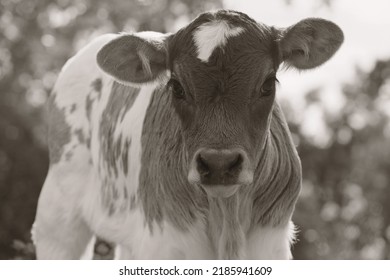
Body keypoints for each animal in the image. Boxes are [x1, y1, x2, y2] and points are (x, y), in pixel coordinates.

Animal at [32, 9, 342, 260]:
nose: (219, 163)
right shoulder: (164, 244)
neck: (227, 217)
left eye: (267, 84)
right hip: (57, 222)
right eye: (177, 86)